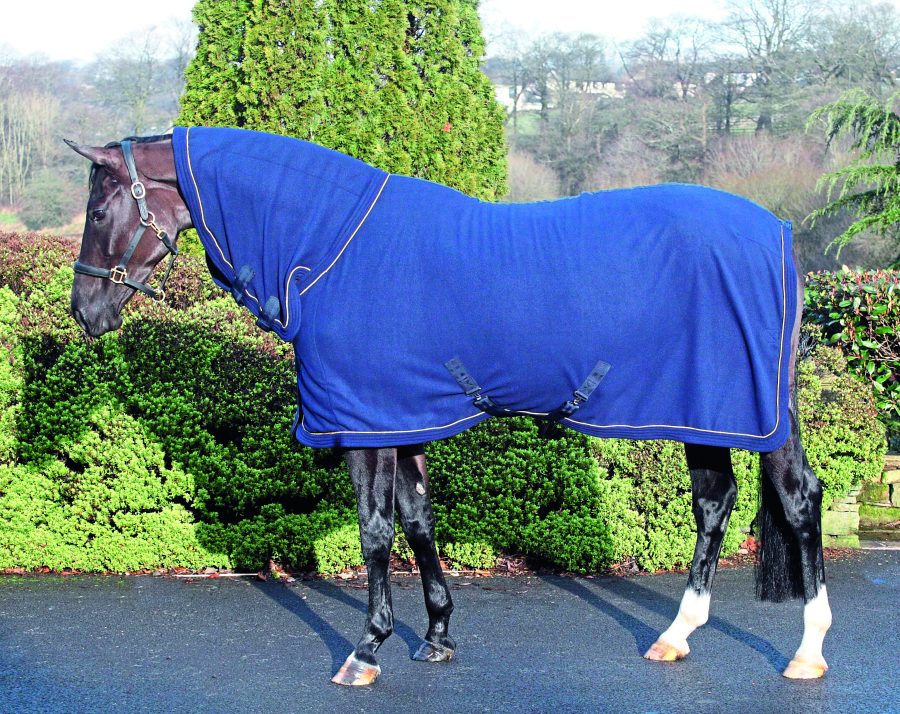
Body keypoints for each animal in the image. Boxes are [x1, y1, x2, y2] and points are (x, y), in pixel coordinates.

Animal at [66, 127, 832, 686]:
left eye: (99, 211)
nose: (85, 311)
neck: (333, 246)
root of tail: (778, 235)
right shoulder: (405, 417)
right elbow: (418, 521)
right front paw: (436, 634)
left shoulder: (367, 426)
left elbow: (376, 533)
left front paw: (367, 649)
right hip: (704, 413)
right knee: (715, 501)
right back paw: (676, 636)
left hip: (755, 414)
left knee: (798, 500)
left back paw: (808, 651)